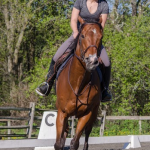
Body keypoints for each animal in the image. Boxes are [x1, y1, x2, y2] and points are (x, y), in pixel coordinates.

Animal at [54, 15, 103, 149]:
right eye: (82, 36)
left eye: (100, 37)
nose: (92, 61)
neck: (78, 83)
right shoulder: (62, 113)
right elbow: (58, 143)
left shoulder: (86, 114)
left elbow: (75, 142)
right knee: (65, 132)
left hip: (94, 113)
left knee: (86, 136)